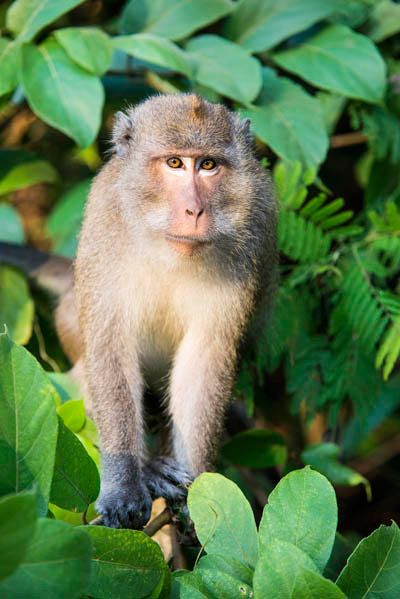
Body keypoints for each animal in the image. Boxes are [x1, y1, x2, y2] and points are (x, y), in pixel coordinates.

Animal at [0, 94, 276, 528]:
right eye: (175, 163)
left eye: (208, 165)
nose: (194, 211)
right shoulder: (105, 220)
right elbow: (110, 348)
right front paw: (125, 487)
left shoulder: (252, 239)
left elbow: (205, 357)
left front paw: (199, 489)